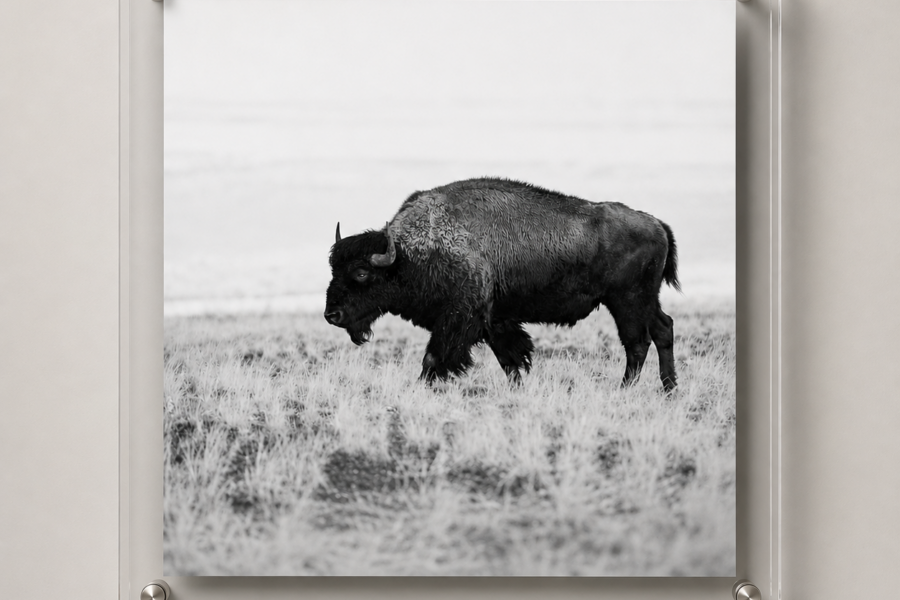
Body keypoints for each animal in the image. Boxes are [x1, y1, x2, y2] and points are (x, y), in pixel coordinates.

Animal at [325, 178, 680, 391]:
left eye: (360, 273)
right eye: (332, 269)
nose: (332, 315)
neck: (407, 255)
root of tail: (657, 224)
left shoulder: (459, 318)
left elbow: (434, 358)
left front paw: (423, 387)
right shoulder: (495, 320)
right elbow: (510, 359)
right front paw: (517, 388)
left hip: (627, 301)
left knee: (637, 343)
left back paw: (625, 389)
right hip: (646, 300)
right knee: (663, 329)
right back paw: (669, 389)